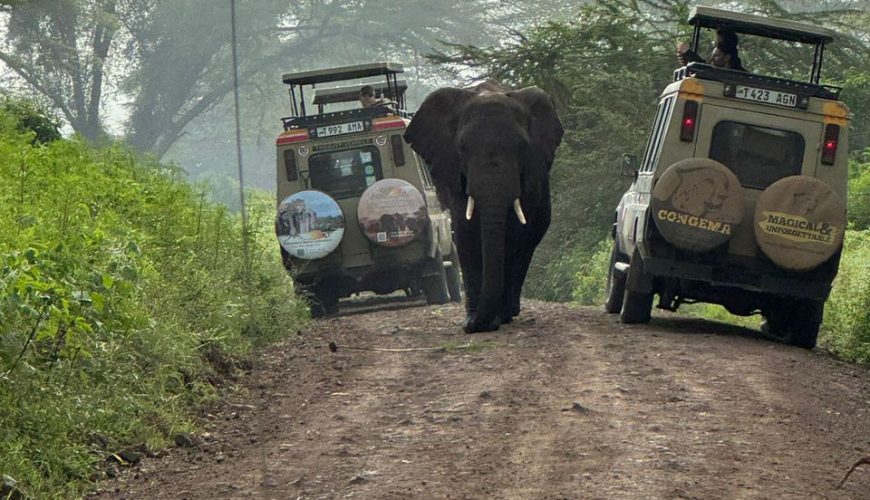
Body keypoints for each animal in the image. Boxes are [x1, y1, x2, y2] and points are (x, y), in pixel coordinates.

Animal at [404, 81, 564, 332]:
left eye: (522, 147)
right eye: (461, 147)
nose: (478, 324)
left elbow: (513, 234)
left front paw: (495, 318)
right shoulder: (453, 172)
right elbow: (465, 231)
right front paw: (473, 322)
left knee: (527, 244)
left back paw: (510, 311)